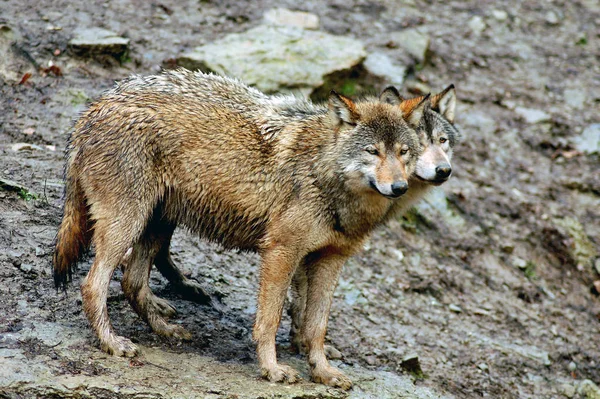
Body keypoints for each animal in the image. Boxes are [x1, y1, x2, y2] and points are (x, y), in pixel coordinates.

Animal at [52, 69, 426, 390]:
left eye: (403, 152)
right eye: (372, 151)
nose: (399, 188)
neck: (324, 174)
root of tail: (93, 108)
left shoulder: (330, 260)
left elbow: (317, 326)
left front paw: (323, 372)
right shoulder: (280, 252)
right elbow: (270, 320)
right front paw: (272, 369)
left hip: (157, 223)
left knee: (132, 281)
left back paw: (167, 330)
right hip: (127, 225)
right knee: (93, 285)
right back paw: (112, 343)